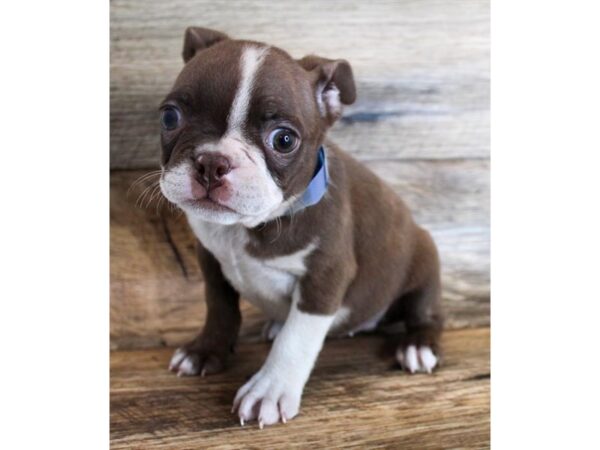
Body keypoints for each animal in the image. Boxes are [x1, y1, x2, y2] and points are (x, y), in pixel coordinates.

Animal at [161, 28, 446, 428]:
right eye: (170, 117)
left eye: (284, 139)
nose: (212, 162)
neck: (247, 227)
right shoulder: (211, 261)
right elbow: (219, 308)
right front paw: (205, 350)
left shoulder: (325, 276)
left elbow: (296, 339)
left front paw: (270, 389)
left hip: (424, 262)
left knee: (427, 313)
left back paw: (417, 346)